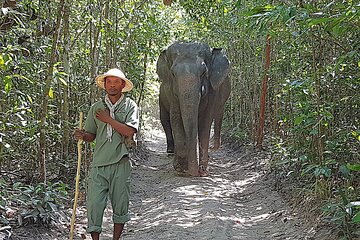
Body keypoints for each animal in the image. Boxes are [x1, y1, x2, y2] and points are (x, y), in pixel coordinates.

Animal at [157, 41, 231, 176]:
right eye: (173, 73)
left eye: (203, 72)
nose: (194, 172)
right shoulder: (171, 93)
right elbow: (175, 118)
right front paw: (180, 167)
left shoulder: (213, 91)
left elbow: (205, 123)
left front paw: (203, 170)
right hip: (161, 98)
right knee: (165, 120)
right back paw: (171, 152)